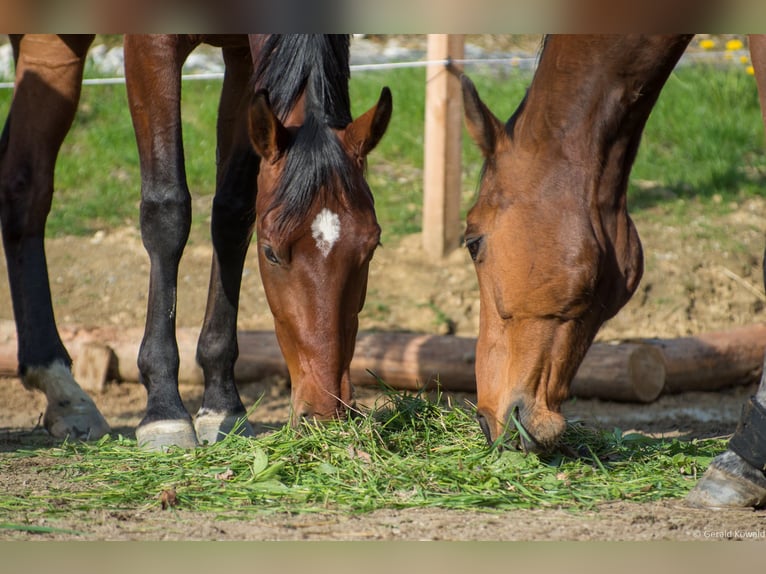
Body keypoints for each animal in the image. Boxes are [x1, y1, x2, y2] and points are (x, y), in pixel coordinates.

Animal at [0, 33, 392, 452]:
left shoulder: (242, 59)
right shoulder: (150, 47)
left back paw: (64, 394)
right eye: (270, 253)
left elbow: (232, 212)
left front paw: (223, 406)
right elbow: (167, 210)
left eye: (372, 246)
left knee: (24, 187)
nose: (324, 411)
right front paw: (164, 411)